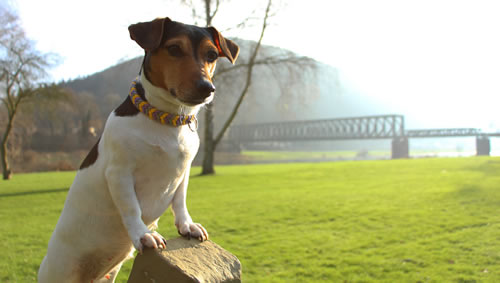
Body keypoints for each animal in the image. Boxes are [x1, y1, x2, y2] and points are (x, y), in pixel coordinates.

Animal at [38, 16, 239, 282]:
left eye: (212, 54)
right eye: (174, 49)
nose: (207, 87)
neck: (167, 120)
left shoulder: (183, 172)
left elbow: (180, 201)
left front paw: (187, 225)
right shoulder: (119, 173)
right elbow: (131, 207)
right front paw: (144, 234)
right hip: (61, 272)